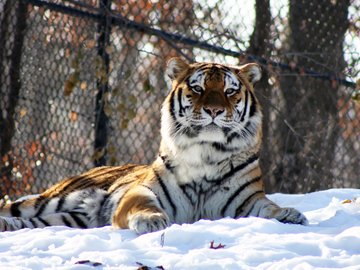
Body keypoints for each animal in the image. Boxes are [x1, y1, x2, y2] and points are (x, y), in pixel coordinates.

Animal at [0, 57, 308, 234]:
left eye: (230, 91)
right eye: (198, 88)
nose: (214, 110)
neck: (207, 152)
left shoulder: (247, 200)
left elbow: (268, 208)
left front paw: (290, 215)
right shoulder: (143, 191)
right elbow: (143, 205)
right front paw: (151, 221)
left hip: (71, 219)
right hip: (51, 199)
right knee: (15, 209)